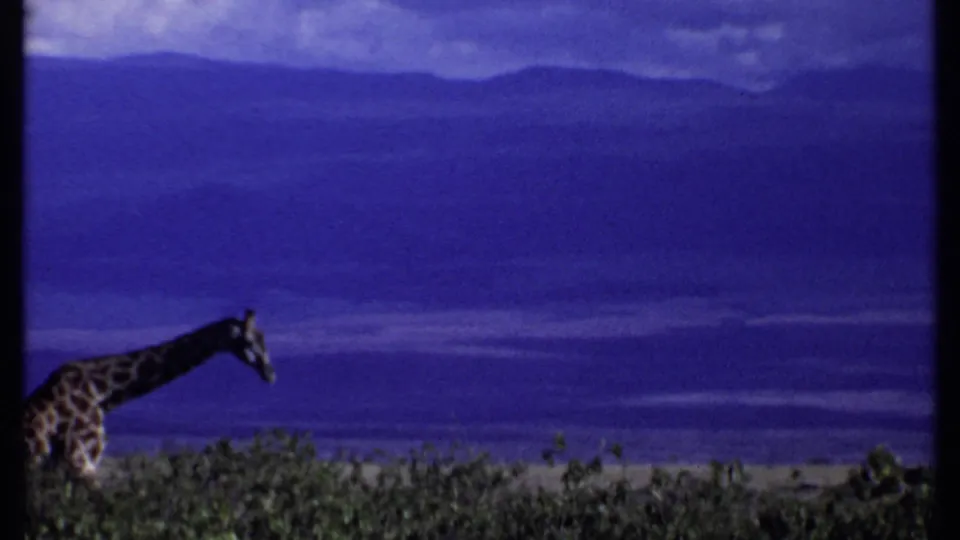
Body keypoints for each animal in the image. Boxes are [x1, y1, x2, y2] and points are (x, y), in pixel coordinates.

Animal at [23, 309, 276, 487]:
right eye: (250, 341)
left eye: (265, 338)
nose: (271, 374)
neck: (101, 391)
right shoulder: (82, 458)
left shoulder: (66, 464)